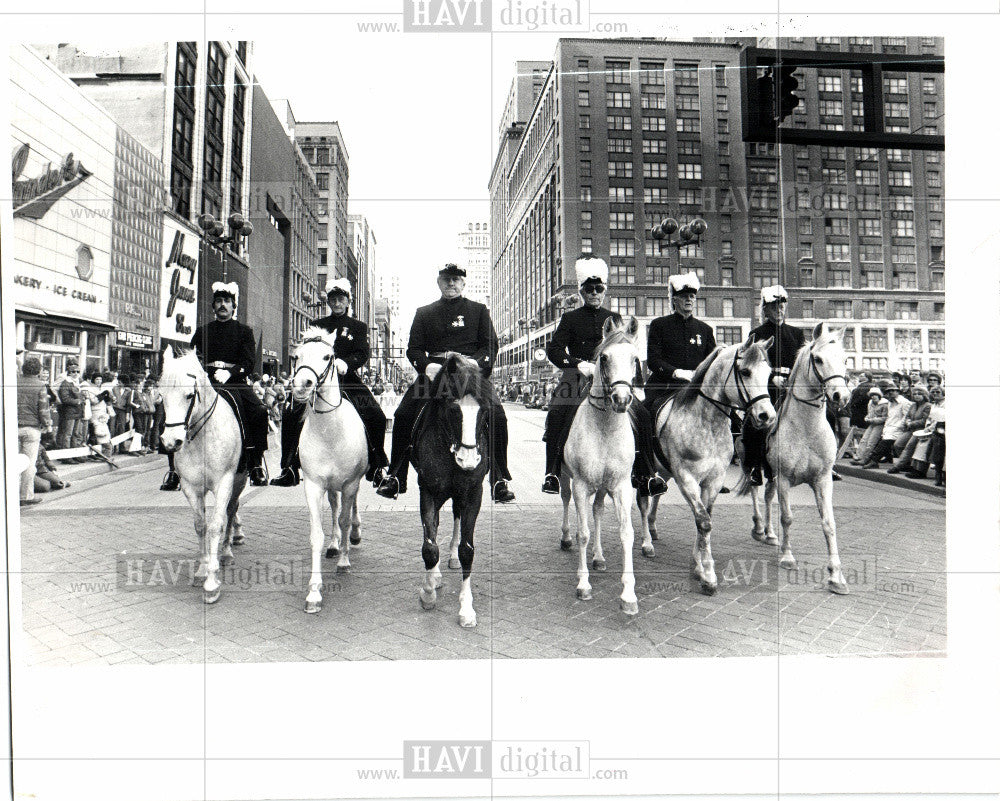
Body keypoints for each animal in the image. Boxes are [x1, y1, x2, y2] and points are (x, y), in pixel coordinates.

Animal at [160, 346, 248, 604]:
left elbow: (216, 524)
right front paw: (202, 569)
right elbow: (200, 525)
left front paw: (212, 582)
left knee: (232, 510)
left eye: (190, 395)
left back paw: (226, 552)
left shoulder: (224, 482)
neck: (202, 438)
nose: (171, 441)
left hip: (239, 480)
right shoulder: (191, 487)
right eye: (161, 395)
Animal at [292, 324, 370, 612]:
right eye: (297, 356)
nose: (302, 385)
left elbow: (345, 520)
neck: (329, 432)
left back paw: (352, 537)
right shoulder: (314, 485)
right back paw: (335, 544)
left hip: (353, 482)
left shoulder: (350, 483)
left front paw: (344, 563)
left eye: (328, 356)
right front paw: (314, 592)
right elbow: (317, 533)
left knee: (349, 510)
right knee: (335, 508)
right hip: (331, 486)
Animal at [560, 312, 644, 612]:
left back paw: (597, 557)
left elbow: (626, 533)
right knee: (566, 502)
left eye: (635, 358)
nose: (621, 399)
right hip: (566, 479)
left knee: (597, 511)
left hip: (603, 486)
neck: (605, 426)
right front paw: (583, 584)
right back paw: (566, 538)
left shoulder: (620, 486)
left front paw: (629, 594)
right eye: (604, 358)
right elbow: (583, 532)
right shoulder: (581, 485)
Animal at [636, 336, 776, 592]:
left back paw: (652, 526)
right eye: (745, 372)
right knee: (642, 501)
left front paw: (698, 565)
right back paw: (647, 543)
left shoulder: (713, 481)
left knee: (657, 495)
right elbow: (703, 521)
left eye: (769, 373)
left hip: (664, 471)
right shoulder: (686, 478)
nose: (767, 416)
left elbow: (705, 518)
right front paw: (708, 574)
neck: (707, 425)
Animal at [744, 322, 852, 592]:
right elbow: (787, 517)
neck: (806, 428)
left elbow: (829, 523)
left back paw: (770, 534)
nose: (842, 397)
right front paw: (787, 556)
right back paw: (759, 527)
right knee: (755, 492)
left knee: (767, 496)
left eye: (845, 359)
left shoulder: (822, 480)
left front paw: (836, 576)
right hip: (752, 466)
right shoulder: (784, 478)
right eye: (818, 359)